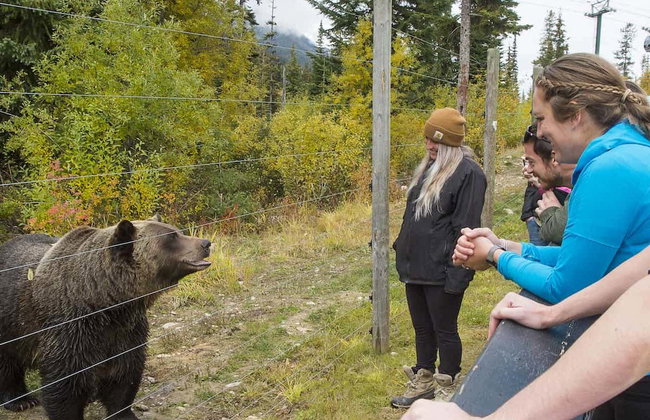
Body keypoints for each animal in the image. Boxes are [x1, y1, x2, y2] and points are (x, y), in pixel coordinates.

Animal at [0, 218, 211, 420]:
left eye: (177, 231)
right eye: (171, 237)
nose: (206, 243)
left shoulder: (126, 329)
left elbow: (125, 373)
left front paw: (124, 413)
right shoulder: (69, 329)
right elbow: (65, 382)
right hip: (10, 322)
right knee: (7, 363)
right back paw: (20, 400)